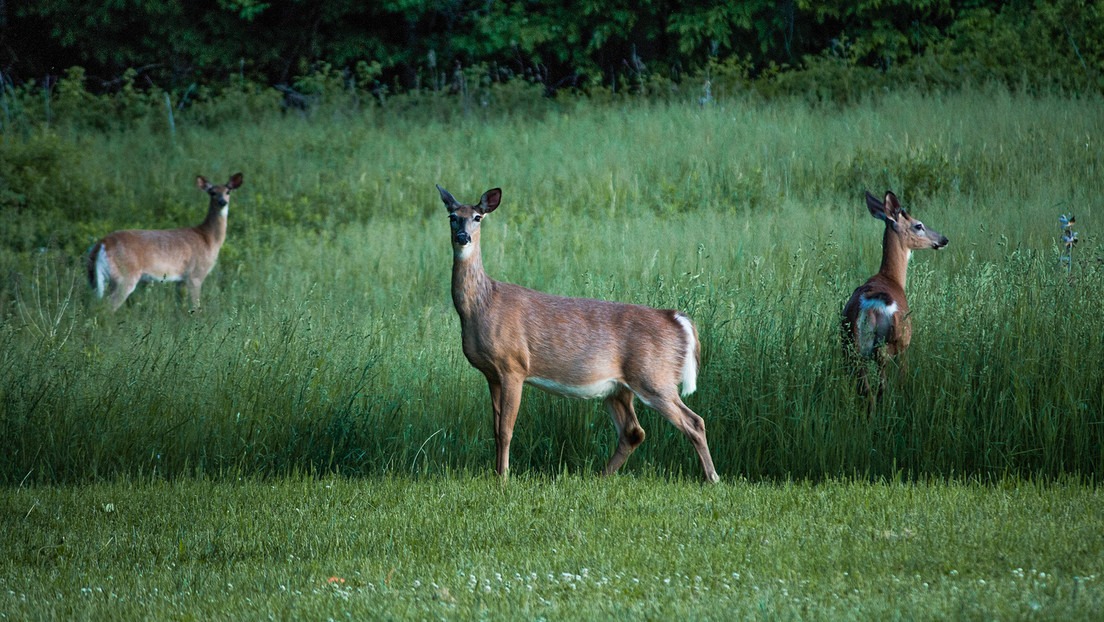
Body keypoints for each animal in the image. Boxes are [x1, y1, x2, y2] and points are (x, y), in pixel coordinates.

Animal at [86, 172, 243, 311]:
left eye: (228, 191)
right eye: (212, 192)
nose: (222, 202)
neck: (208, 238)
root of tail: (102, 244)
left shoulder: (180, 280)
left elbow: (180, 307)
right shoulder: (195, 274)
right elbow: (195, 307)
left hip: (94, 278)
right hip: (125, 276)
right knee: (108, 307)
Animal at [434, 182, 719, 483]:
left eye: (478, 217)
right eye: (453, 217)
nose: (463, 237)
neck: (483, 305)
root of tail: (676, 319)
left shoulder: (513, 365)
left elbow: (506, 429)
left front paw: (503, 478)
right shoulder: (492, 373)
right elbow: (496, 429)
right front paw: (497, 473)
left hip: (655, 376)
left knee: (694, 421)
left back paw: (712, 478)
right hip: (619, 388)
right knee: (633, 432)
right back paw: (600, 475)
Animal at [839, 190, 945, 404]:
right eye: (918, 225)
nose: (944, 239)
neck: (892, 279)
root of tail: (870, 309)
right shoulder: (905, 344)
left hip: (852, 347)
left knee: (867, 392)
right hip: (889, 345)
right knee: (881, 390)